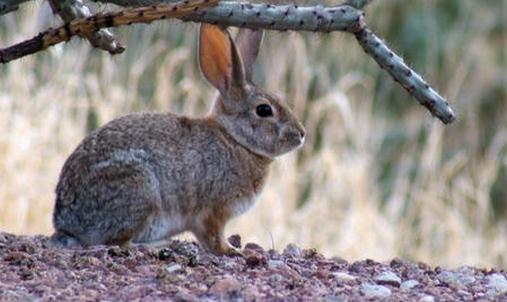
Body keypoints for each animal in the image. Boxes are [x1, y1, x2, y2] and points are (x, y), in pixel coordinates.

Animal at [50, 24, 306, 255]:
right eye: (264, 110)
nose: (301, 134)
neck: (235, 139)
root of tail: (68, 223)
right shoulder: (213, 210)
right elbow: (213, 237)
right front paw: (233, 251)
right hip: (140, 191)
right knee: (116, 241)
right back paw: (157, 245)